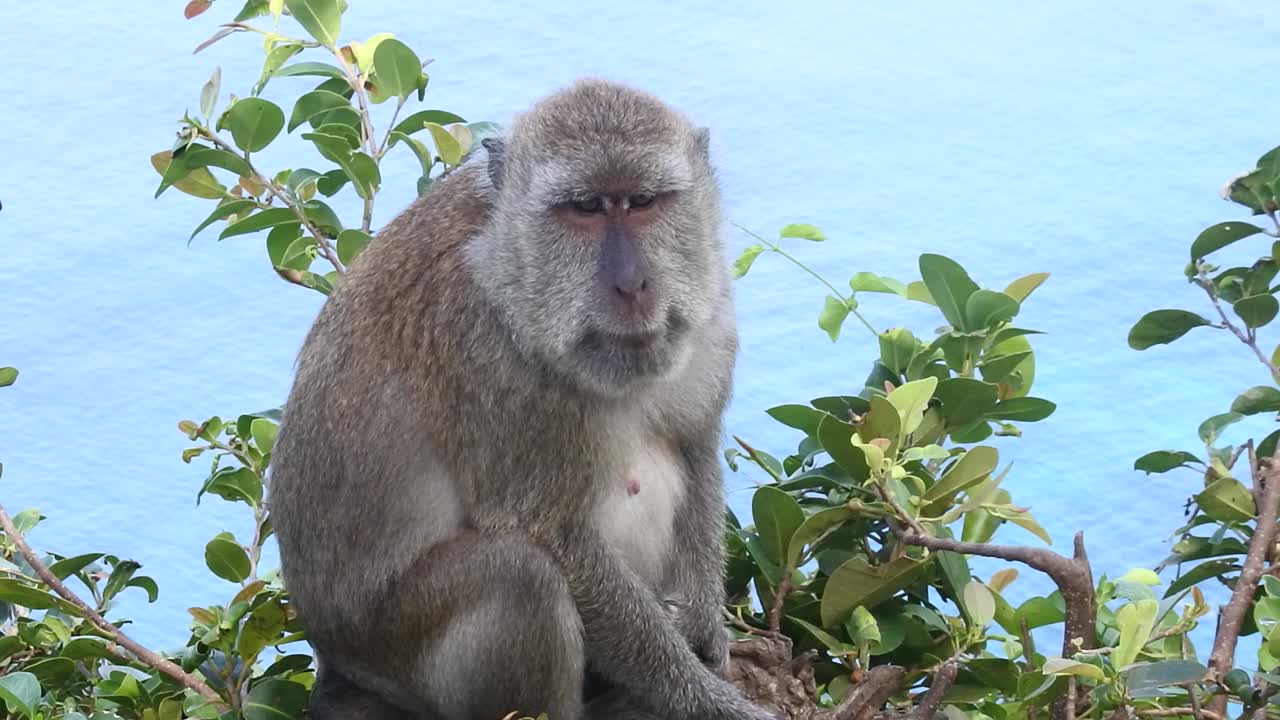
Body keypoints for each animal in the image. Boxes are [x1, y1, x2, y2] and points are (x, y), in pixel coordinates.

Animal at [268, 78, 776, 720]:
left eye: (642, 202)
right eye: (584, 209)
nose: (631, 284)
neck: (506, 264)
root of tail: (338, 663)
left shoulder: (709, 307)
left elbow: (695, 449)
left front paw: (707, 631)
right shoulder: (482, 347)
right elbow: (556, 539)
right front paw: (710, 703)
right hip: (397, 651)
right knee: (518, 577)